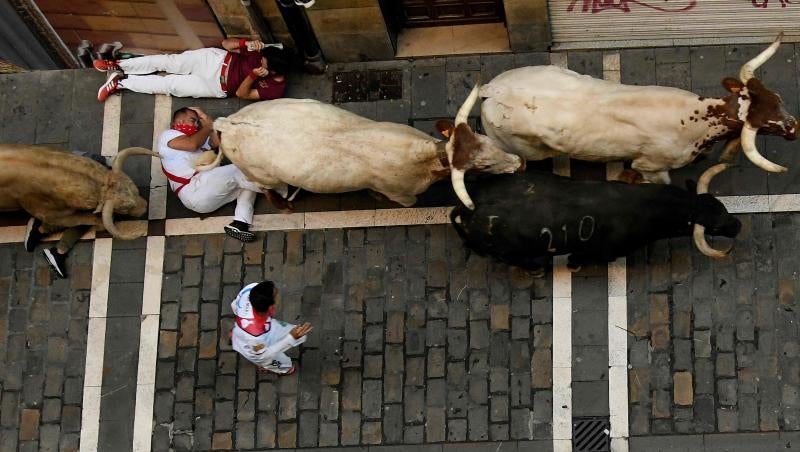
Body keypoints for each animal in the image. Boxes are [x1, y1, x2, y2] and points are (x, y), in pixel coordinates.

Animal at [450, 170, 744, 272]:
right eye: (715, 226)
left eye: (721, 205)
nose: (737, 225)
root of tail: (468, 208)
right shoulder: (605, 252)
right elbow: (583, 257)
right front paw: (573, 264)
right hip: (508, 253)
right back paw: (535, 268)